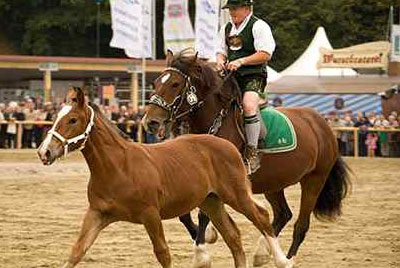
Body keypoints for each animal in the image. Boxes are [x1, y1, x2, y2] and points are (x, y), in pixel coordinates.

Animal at [36, 87, 294, 268]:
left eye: (72, 120)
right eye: (55, 117)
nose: (44, 152)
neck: (118, 167)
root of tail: (227, 145)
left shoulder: (150, 214)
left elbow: (163, 254)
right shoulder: (97, 213)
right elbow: (77, 251)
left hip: (236, 194)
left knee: (261, 217)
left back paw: (282, 260)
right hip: (211, 201)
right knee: (233, 236)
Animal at [143, 49, 350, 266]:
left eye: (175, 84)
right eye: (155, 82)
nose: (151, 122)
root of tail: (322, 123)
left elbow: (202, 215)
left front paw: (201, 254)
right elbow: (185, 215)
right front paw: (207, 236)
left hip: (314, 180)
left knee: (301, 225)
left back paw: (286, 259)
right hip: (274, 183)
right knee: (282, 214)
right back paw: (262, 252)